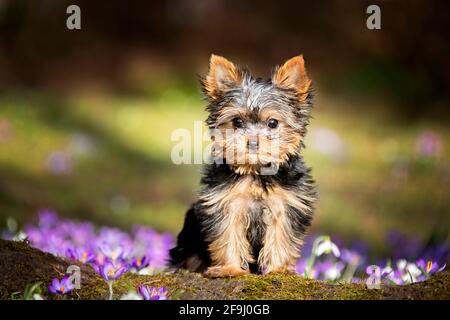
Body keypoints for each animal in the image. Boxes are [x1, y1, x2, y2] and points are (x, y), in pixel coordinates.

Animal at [169, 54, 316, 278]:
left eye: (273, 123)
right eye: (237, 122)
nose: (253, 142)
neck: (255, 171)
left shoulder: (286, 204)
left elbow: (282, 236)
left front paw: (279, 270)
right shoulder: (226, 202)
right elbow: (227, 235)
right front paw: (229, 268)